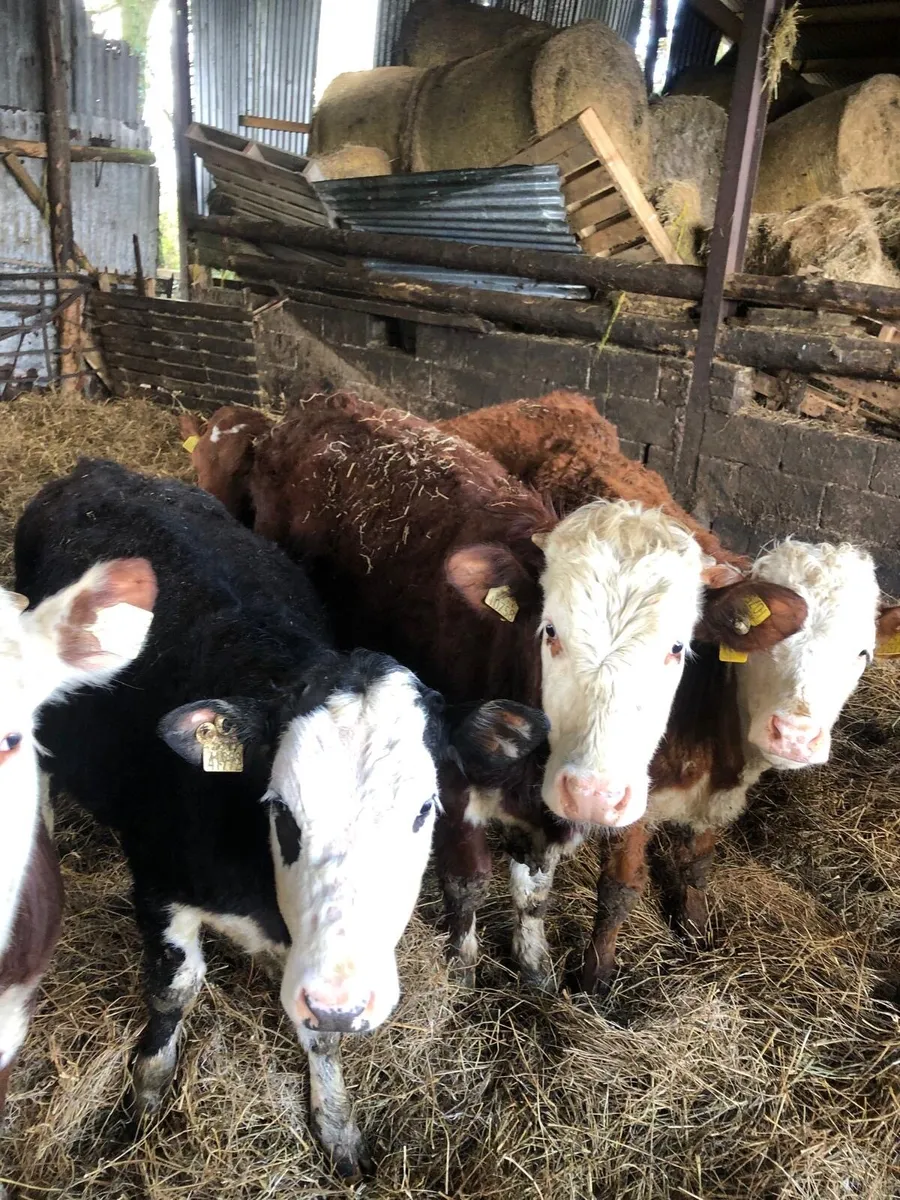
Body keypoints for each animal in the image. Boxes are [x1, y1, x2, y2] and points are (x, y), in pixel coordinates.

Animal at [178, 395, 802, 994]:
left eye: (678, 647)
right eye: (550, 630)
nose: (594, 795)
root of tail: (315, 408)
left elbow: (533, 892)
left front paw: (535, 965)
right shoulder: (451, 780)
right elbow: (466, 883)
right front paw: (461, 970)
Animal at [441, 391, 900, 988]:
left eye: (861, 653)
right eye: (773, 643)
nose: (796, 736)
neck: (714, 735)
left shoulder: (719, 795)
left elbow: (699, 861)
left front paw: (695, 921)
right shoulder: (631, 795)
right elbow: (619, 889)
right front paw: (597, 974)